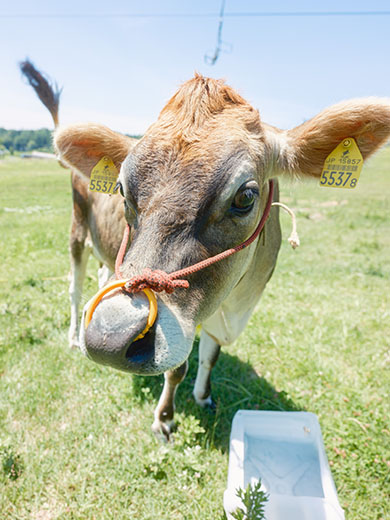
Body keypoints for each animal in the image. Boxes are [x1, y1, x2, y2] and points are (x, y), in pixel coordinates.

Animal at [39, 67, 390, 438]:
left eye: (245, 196)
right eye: (121, 189)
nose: (109, 334)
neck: (236, 304)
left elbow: (211, 356)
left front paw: (203, 397)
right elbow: (177, 367)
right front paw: (165, 419)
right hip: (76, 234)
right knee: (75, 289)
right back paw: (74, 336)